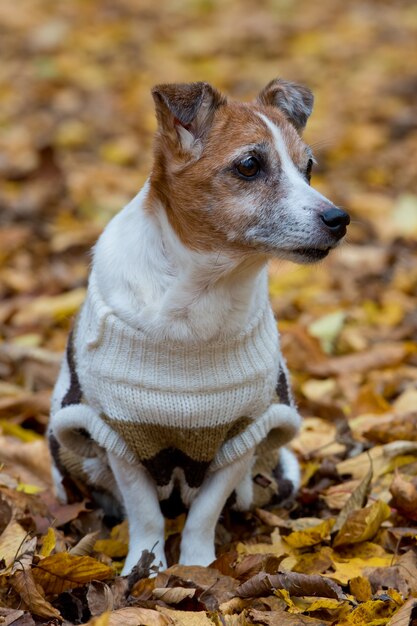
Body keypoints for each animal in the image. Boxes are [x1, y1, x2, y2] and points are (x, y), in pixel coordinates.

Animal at [48, 79, 348, 576]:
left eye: (308, 168)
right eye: (250, 165)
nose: (339, 219)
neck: (201, 293)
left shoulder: (245, 435)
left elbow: (205, 512)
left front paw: (197, 569)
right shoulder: (119, 437)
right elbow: (145, 513)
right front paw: (146, 569)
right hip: (73, 452)